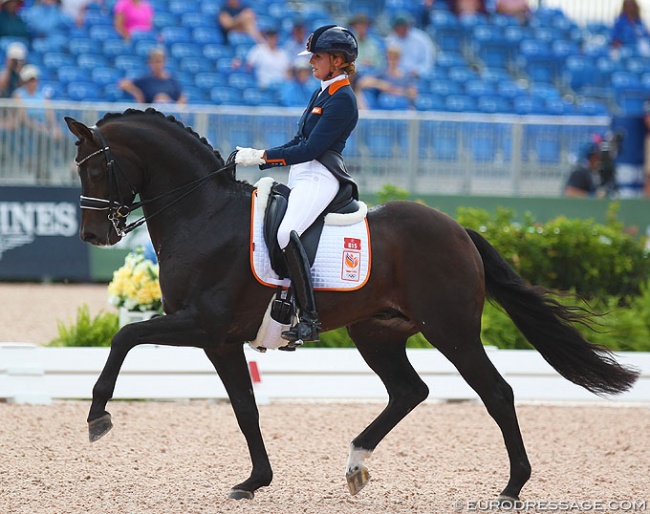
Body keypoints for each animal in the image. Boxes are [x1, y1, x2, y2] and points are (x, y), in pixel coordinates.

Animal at [64, 109, 632, 500]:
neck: (203, 215)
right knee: (409, 391)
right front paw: (255, 480)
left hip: (450, 331)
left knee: (496, 392)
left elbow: (124, 336)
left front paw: (97, 416)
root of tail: (459, 231)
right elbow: (245, 409)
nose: (93, 235)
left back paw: (512, 487)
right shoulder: (220, 341)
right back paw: (357, 462)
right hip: (377, 332)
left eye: (96, 170)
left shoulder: (202, 326)